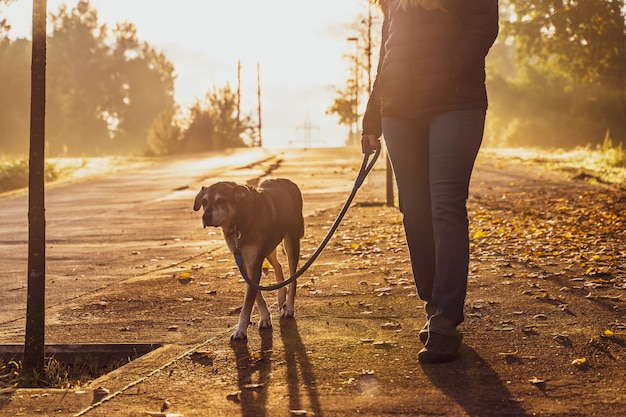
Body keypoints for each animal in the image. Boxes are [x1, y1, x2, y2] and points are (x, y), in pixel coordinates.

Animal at [193, 178, 304, 338]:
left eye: (221, 200)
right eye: (204, 202)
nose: (205, 217)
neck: (239, 222)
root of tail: (288, 181)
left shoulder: (254, 261)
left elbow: (248, 300)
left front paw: (240, 330)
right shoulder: (244, 261)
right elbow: (255, 293)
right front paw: (265, 317)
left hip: (291, 240)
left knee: (293, 275)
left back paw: (288, 306)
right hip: (269, 248)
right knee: (278, 266)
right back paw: (281, 296)